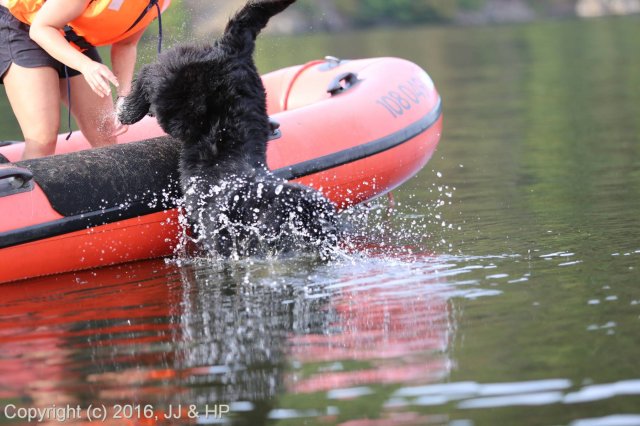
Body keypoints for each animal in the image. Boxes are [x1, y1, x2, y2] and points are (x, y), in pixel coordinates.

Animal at [119, 0, 340, 258]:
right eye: (309, 220)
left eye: (328, 216)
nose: (334, 233)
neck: (248, 204)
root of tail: (234, 49)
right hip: (175, 89)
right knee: (153, 71)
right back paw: (127, 109)